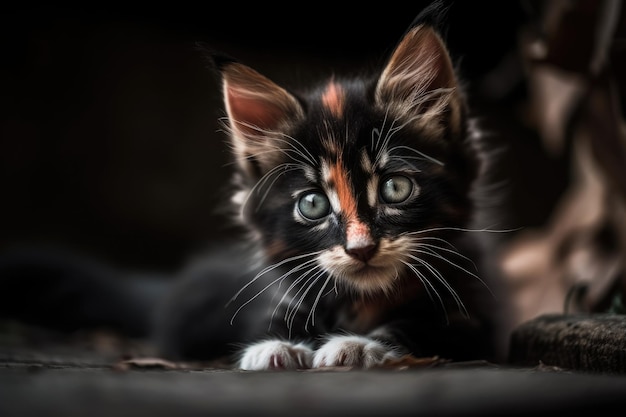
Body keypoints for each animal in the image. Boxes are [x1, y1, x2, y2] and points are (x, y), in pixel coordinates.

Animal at [0, 1, 502, 368]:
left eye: (396, 189)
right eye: (313, 204)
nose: (360, 249)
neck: (362, 299)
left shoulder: (476, 316)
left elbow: (424, 328)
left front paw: (358, 345)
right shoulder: (274, 292)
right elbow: (269, 323)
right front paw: (273, 347)